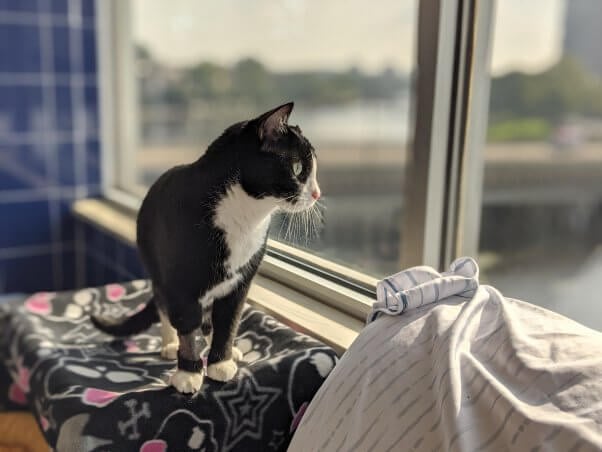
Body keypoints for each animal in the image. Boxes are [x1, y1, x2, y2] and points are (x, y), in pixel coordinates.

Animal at [91, 102, 318, 392]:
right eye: (298, 168)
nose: (317, 194)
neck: (244, 217)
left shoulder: (241, 280)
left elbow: (228, 321)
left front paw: (221, 361)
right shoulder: (180, 282)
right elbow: (187, 325)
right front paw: (188, 370)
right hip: (157, 268)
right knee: (165, 306)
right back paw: (170, 344)